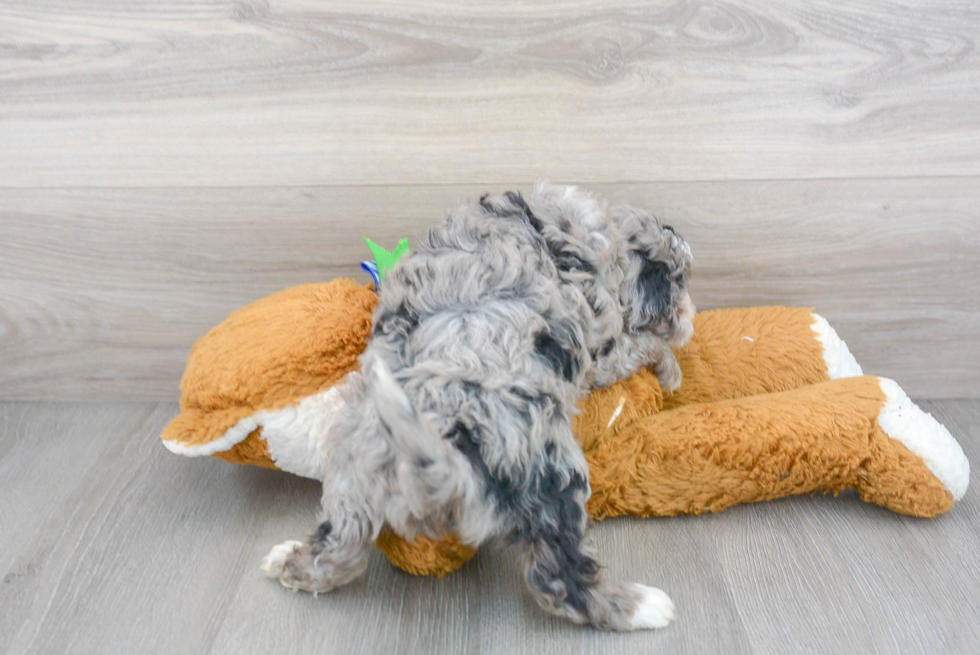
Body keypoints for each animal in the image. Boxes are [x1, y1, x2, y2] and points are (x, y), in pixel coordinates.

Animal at [258, 183, 688, 632]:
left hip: (352, 475)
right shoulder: (599, 347)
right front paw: (670, 367)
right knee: (563, 582)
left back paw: (287, 562)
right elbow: (637, 346)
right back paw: (643, 606)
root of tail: (438, 452)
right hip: (550, 474)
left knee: (339, 546)